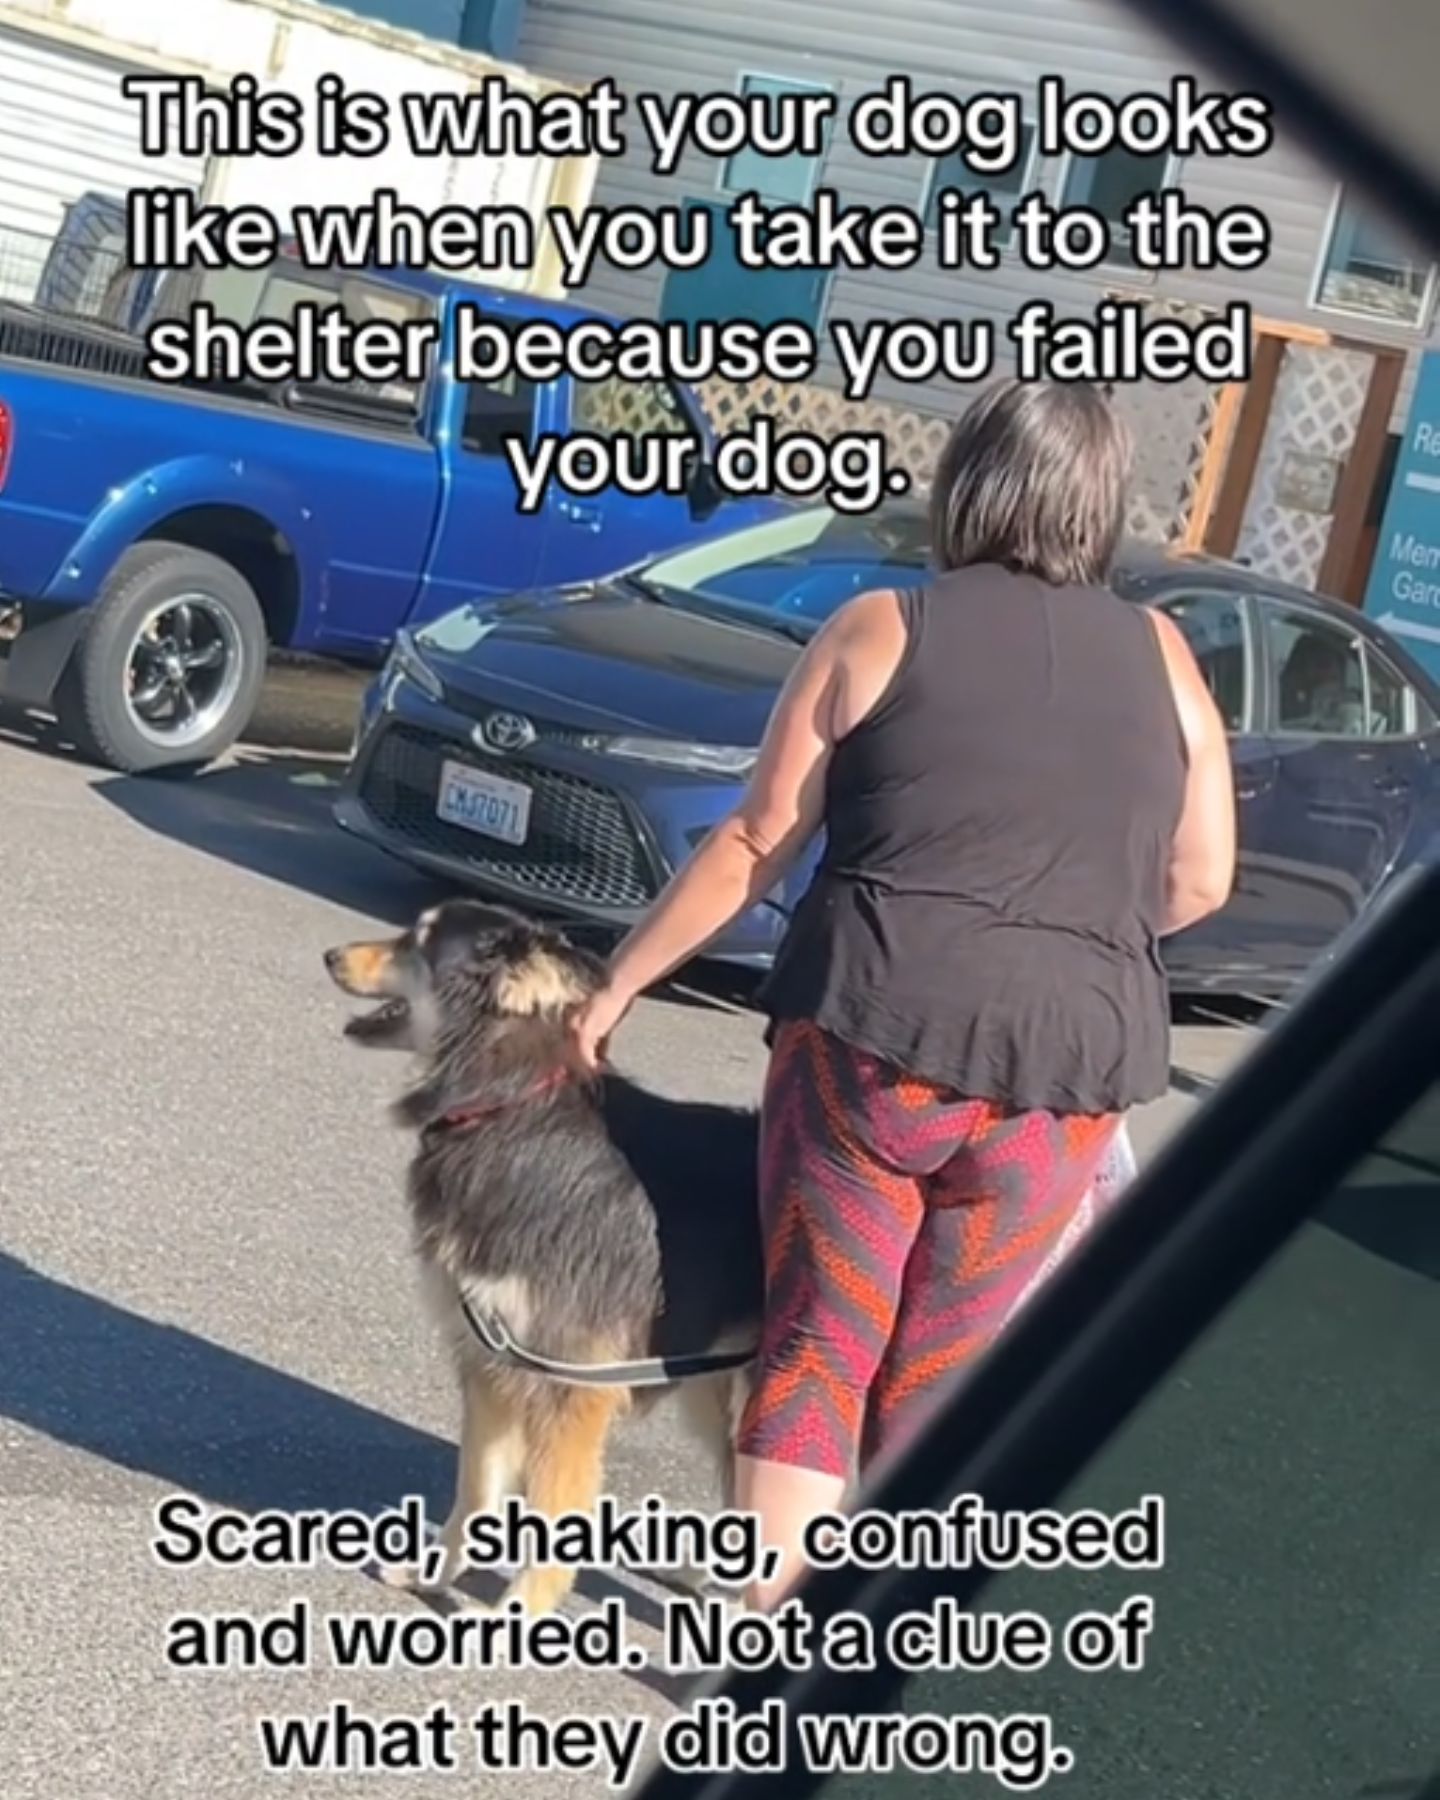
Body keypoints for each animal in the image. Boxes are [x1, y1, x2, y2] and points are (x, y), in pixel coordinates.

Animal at [324, 900, 763, 1620]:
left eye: (420, 941)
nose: (331, 956)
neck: (507, 1108)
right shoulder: (490, 1358)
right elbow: (477, 1485)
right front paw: (432, 1572)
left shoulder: (572, 1381)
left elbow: (555, 1512)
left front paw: (516, 1619)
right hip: (715, 1382)